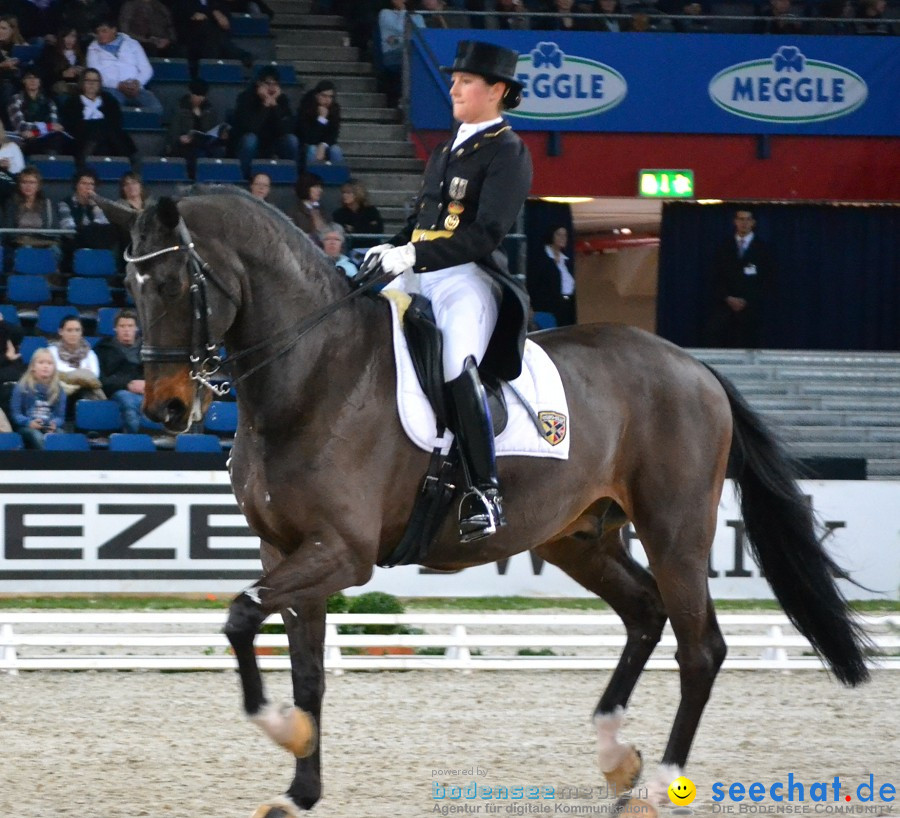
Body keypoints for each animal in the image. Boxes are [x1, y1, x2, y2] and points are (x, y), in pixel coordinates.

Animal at [95, 193, 868, 816]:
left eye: (174, 282)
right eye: (129, 287)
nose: (166, 410)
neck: (310, 375)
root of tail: (695, 365)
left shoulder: (342, 554)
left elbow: (238, 615)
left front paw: (281, 730)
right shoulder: (285, 549)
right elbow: (302, 666)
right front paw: (299, 790)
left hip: (676, 529)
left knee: (699, 647)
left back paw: (655, 787)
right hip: (578, 536)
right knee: (645, 614)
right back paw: (617, 757)